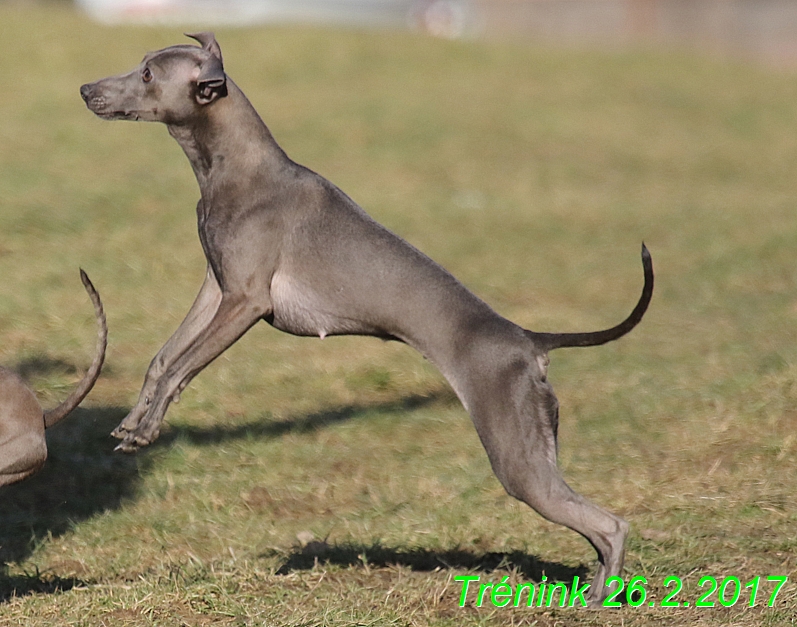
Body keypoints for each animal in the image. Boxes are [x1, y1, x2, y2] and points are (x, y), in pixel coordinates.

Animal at [79, 35, 652, 608]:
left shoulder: (245, 302)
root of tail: (529, 341)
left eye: (149, 75)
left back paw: (600, 598)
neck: (235, 165)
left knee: (610, 525)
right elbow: (162, 360)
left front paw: (146, 429)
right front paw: (133, 423)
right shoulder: (215, 289)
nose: (85, 89)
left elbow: (182, 368)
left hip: (517, 460)